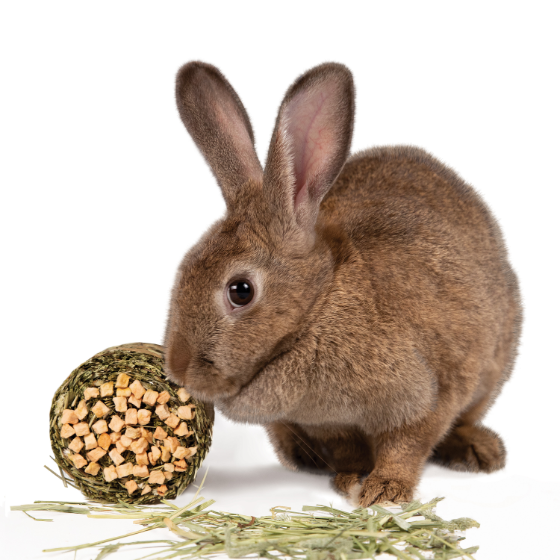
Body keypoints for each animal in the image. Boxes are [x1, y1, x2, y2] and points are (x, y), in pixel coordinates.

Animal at [164, 61, 524, 508]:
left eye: (240, 291)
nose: (178, 367)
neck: (318, 307)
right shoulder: (329, 424)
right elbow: (347, 448)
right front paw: (350, 478)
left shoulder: (428, 395)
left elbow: (407, 445)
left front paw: (384, 491)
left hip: (495, 367)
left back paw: (480, 451)